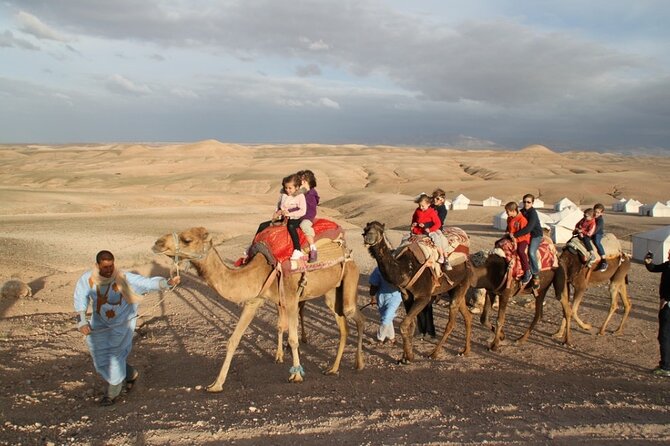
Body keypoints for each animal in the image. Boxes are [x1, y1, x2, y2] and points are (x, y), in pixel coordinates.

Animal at [151, 228, 368, 392]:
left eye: (187, 239)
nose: (157, 243)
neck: (261, 268)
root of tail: (348, 253)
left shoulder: (291, 298)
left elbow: (293, 339)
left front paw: (296, 376)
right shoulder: (254, 300)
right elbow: (233, 340)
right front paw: (216, 384)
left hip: (349, 279)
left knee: (357, 317)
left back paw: (359, 364)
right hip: (332, 293)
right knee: (343, 326)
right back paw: (332, 368)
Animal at [364, 221, 476, 364]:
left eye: (380, 230)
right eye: (366, 229)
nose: (368, 237)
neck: (407, 269)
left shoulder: (423, 297)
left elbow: (404, 325)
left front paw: (408, 357)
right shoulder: (406, 296)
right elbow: (410, 325)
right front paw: (405, 357)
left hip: (463, 282)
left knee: (451, 322)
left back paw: (434, 353)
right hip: (455, 288)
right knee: (467, 316)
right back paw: (465, 351)